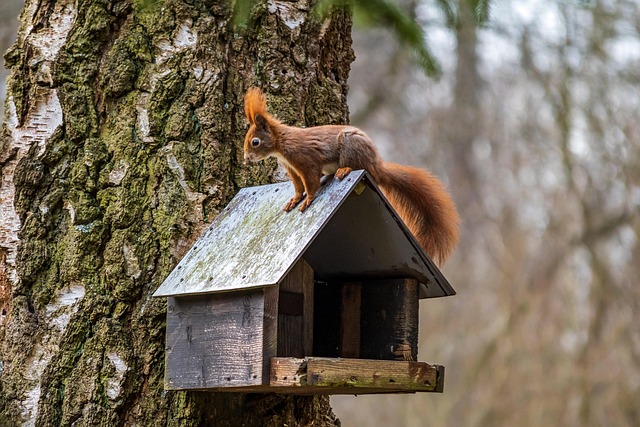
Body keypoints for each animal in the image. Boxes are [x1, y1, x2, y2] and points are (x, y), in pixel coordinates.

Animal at [242, 87, 459, 266]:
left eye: (255, 142)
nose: (246, 159)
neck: (281, 144)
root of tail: (376, 164)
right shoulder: (293, 170)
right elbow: (298, 187)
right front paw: (294, 200)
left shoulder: (306, 161)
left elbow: (311, 183)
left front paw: (308, 200)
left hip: (350, 145)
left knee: (356, 165)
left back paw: (344, 170)